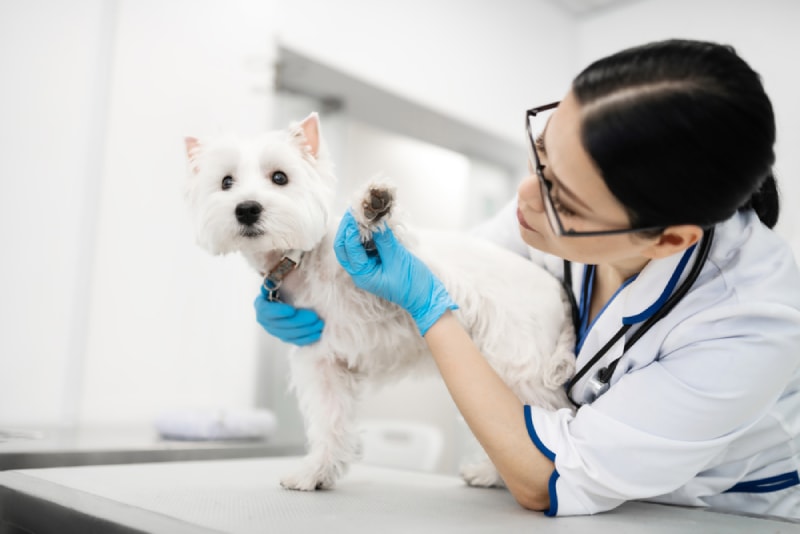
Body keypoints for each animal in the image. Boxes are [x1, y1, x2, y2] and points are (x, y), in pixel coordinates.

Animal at [184, 115, 576, 492]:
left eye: (279, 177)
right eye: (226, 182)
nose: (247, 209)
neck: (302, 259)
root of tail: (556, 289)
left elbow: (379, 249)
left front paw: (371, 208)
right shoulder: (323, 361)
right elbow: (330, 421)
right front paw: (315, 473)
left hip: (518, 365)